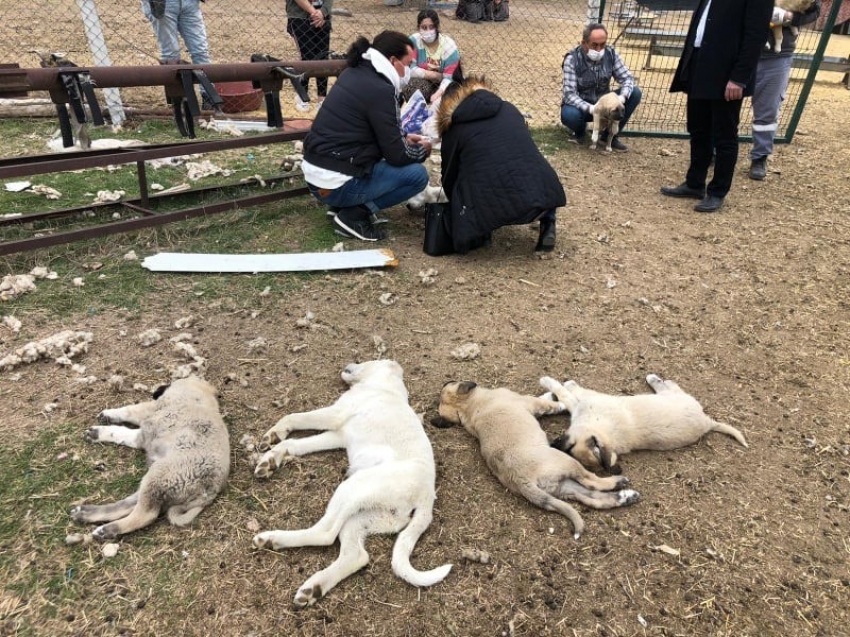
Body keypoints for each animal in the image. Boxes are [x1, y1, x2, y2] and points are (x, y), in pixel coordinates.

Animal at [70, 376, 229, 540]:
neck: (200, 390)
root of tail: (210, 490)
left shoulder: (148, 413)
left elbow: (126, 416)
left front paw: (105, 418)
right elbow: (124, 432)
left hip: (160, 475)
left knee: (145, 515)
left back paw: (105, 530)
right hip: (156, 482)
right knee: (130, 505)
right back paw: (85, 513)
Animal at [250, 358, 450, 608]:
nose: (349, 362)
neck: (384, 387)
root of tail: (426, 498)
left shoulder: (335, 414)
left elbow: (293, 417)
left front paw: (274, 435)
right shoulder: (337, 435)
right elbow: (295, 444)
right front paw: (271, 458)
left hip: (352, 488)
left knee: (325, 534)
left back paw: (272, 539)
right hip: (364, 517)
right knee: (357, 555)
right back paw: (314, 587)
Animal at [434, 380, 640, 540]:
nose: (445, 382)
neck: (469, 407)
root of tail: (521, 480)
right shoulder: (529, 402)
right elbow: (548, 404)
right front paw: (559, 400)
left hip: (561, 487)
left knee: (591, 497)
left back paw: (626, 497)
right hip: (566, 462)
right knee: (592, 482)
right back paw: (618, 482)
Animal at [540, 372, 744, 472]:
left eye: (570, 446)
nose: (553, 445)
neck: (607, 431)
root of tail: (708, 422)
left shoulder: (586, 402)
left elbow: (567, 393)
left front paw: (553, 382)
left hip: (676, 396)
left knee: (672, 385)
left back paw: (654, 378)